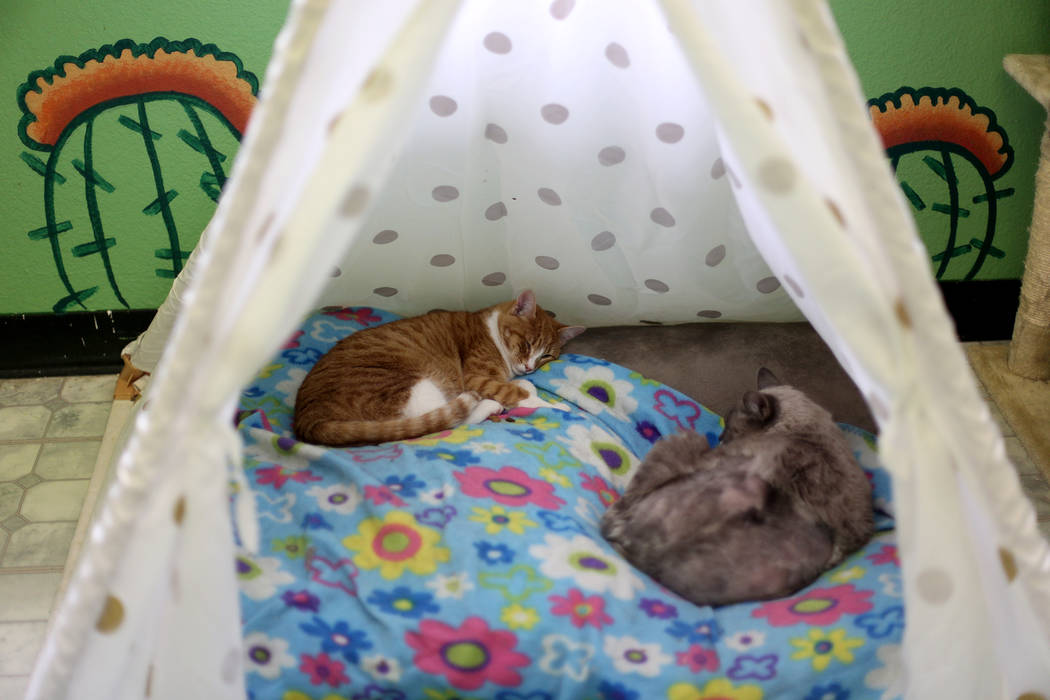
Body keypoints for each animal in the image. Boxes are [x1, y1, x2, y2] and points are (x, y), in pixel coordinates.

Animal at [291, 291, 583, 447]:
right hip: (414, 385)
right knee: (445, 419)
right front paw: (556, 406)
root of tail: (307, 419)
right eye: (526, 344)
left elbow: (521, 386)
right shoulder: (477, 377)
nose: (529, 366)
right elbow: (521, 394)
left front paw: (525, 383)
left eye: (546, 355)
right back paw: (490, 406)